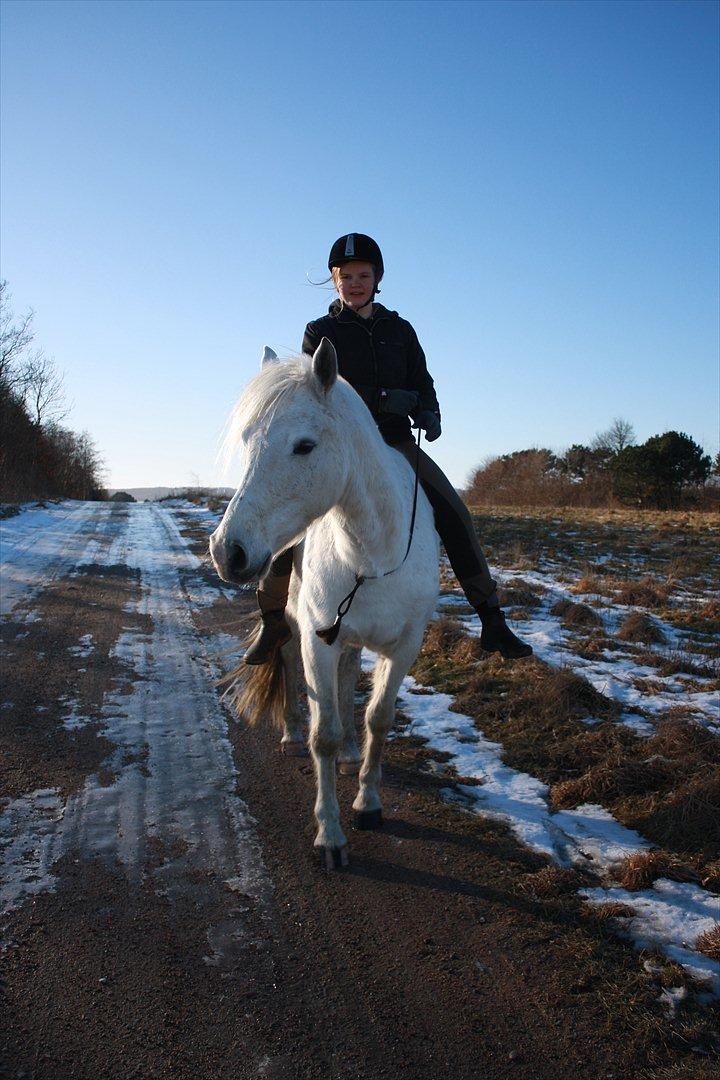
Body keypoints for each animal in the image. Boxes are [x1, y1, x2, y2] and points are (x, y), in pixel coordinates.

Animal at [209, 343, 440, 868]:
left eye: (304, 446)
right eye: (248, 441)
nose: (227, 551)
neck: (372, 556)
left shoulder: (405, 645)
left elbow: (379, 717)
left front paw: (368, 803)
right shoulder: (318, 639)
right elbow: (324, 735)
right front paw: (330, 835)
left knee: (350, 677)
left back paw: (354, 753)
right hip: (297, 629)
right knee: (290, 665)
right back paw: (293, 733)